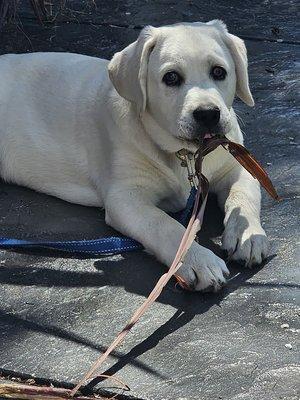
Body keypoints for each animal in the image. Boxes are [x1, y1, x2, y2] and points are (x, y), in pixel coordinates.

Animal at [0, 21, 268, 290]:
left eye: (219, 72)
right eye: (171, 77)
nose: (208, 114)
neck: (186, 156)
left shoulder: (239, 168)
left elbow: (242, 197)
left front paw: (248, 235)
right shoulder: (125, 198)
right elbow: (164, 225)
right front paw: (197, 260)